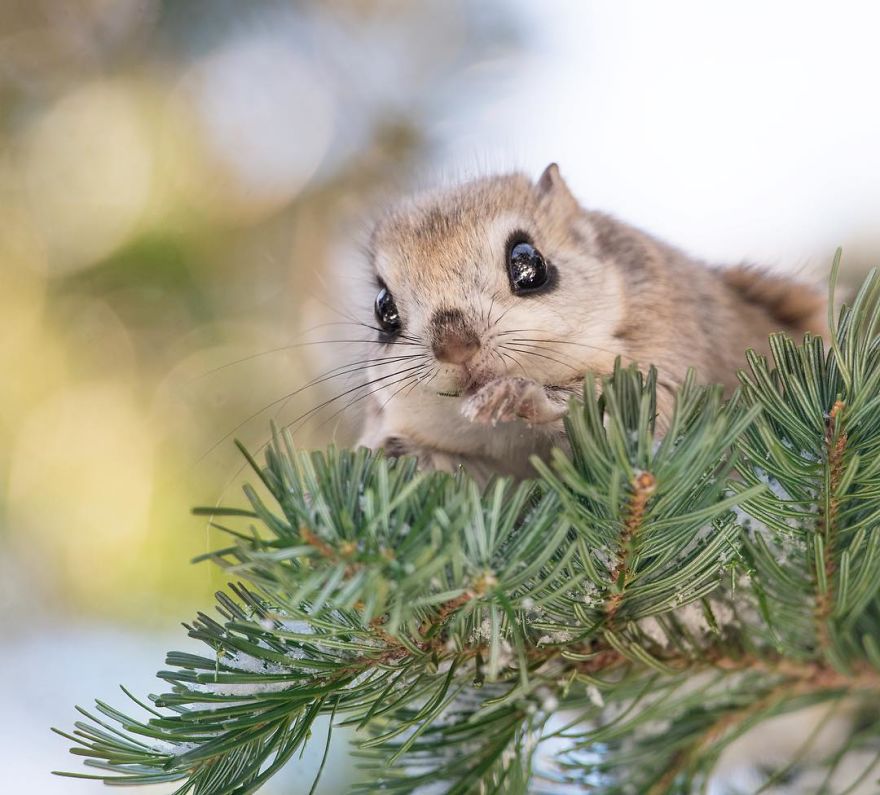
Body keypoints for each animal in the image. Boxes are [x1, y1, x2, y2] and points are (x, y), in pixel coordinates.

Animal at [352, 163, 824, 478]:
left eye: (528, 263)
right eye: (383, 309)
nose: (455, 347)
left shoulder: (671, 359)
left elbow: (642, 413)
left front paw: (519, 395)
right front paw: (399, 454)